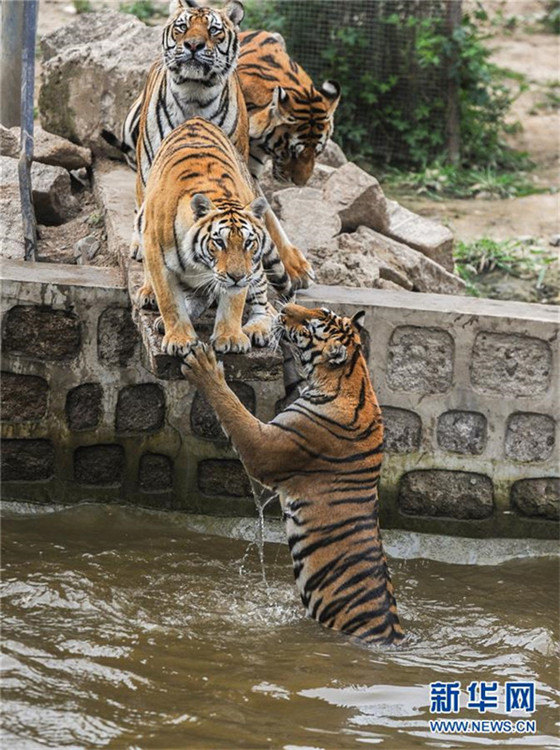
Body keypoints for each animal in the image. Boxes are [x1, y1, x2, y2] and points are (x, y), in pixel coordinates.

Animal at [137, 117, 290, 356]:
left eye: (248, 243)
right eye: (219, 242)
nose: (237, 276)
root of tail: (196, 119)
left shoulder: (242, 273)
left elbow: (234, 302)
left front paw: (230, 338)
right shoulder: (156, 257)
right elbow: (170, 302)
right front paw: (179, 339)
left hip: (255, 270)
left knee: (263, 300)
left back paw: (258, 327)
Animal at [181, 303, 404, 645]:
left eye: (311, 326)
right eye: (321, 310)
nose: (284, 307)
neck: (352, 376)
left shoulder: (265, 450)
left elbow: (233, 409)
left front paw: (204, 365)